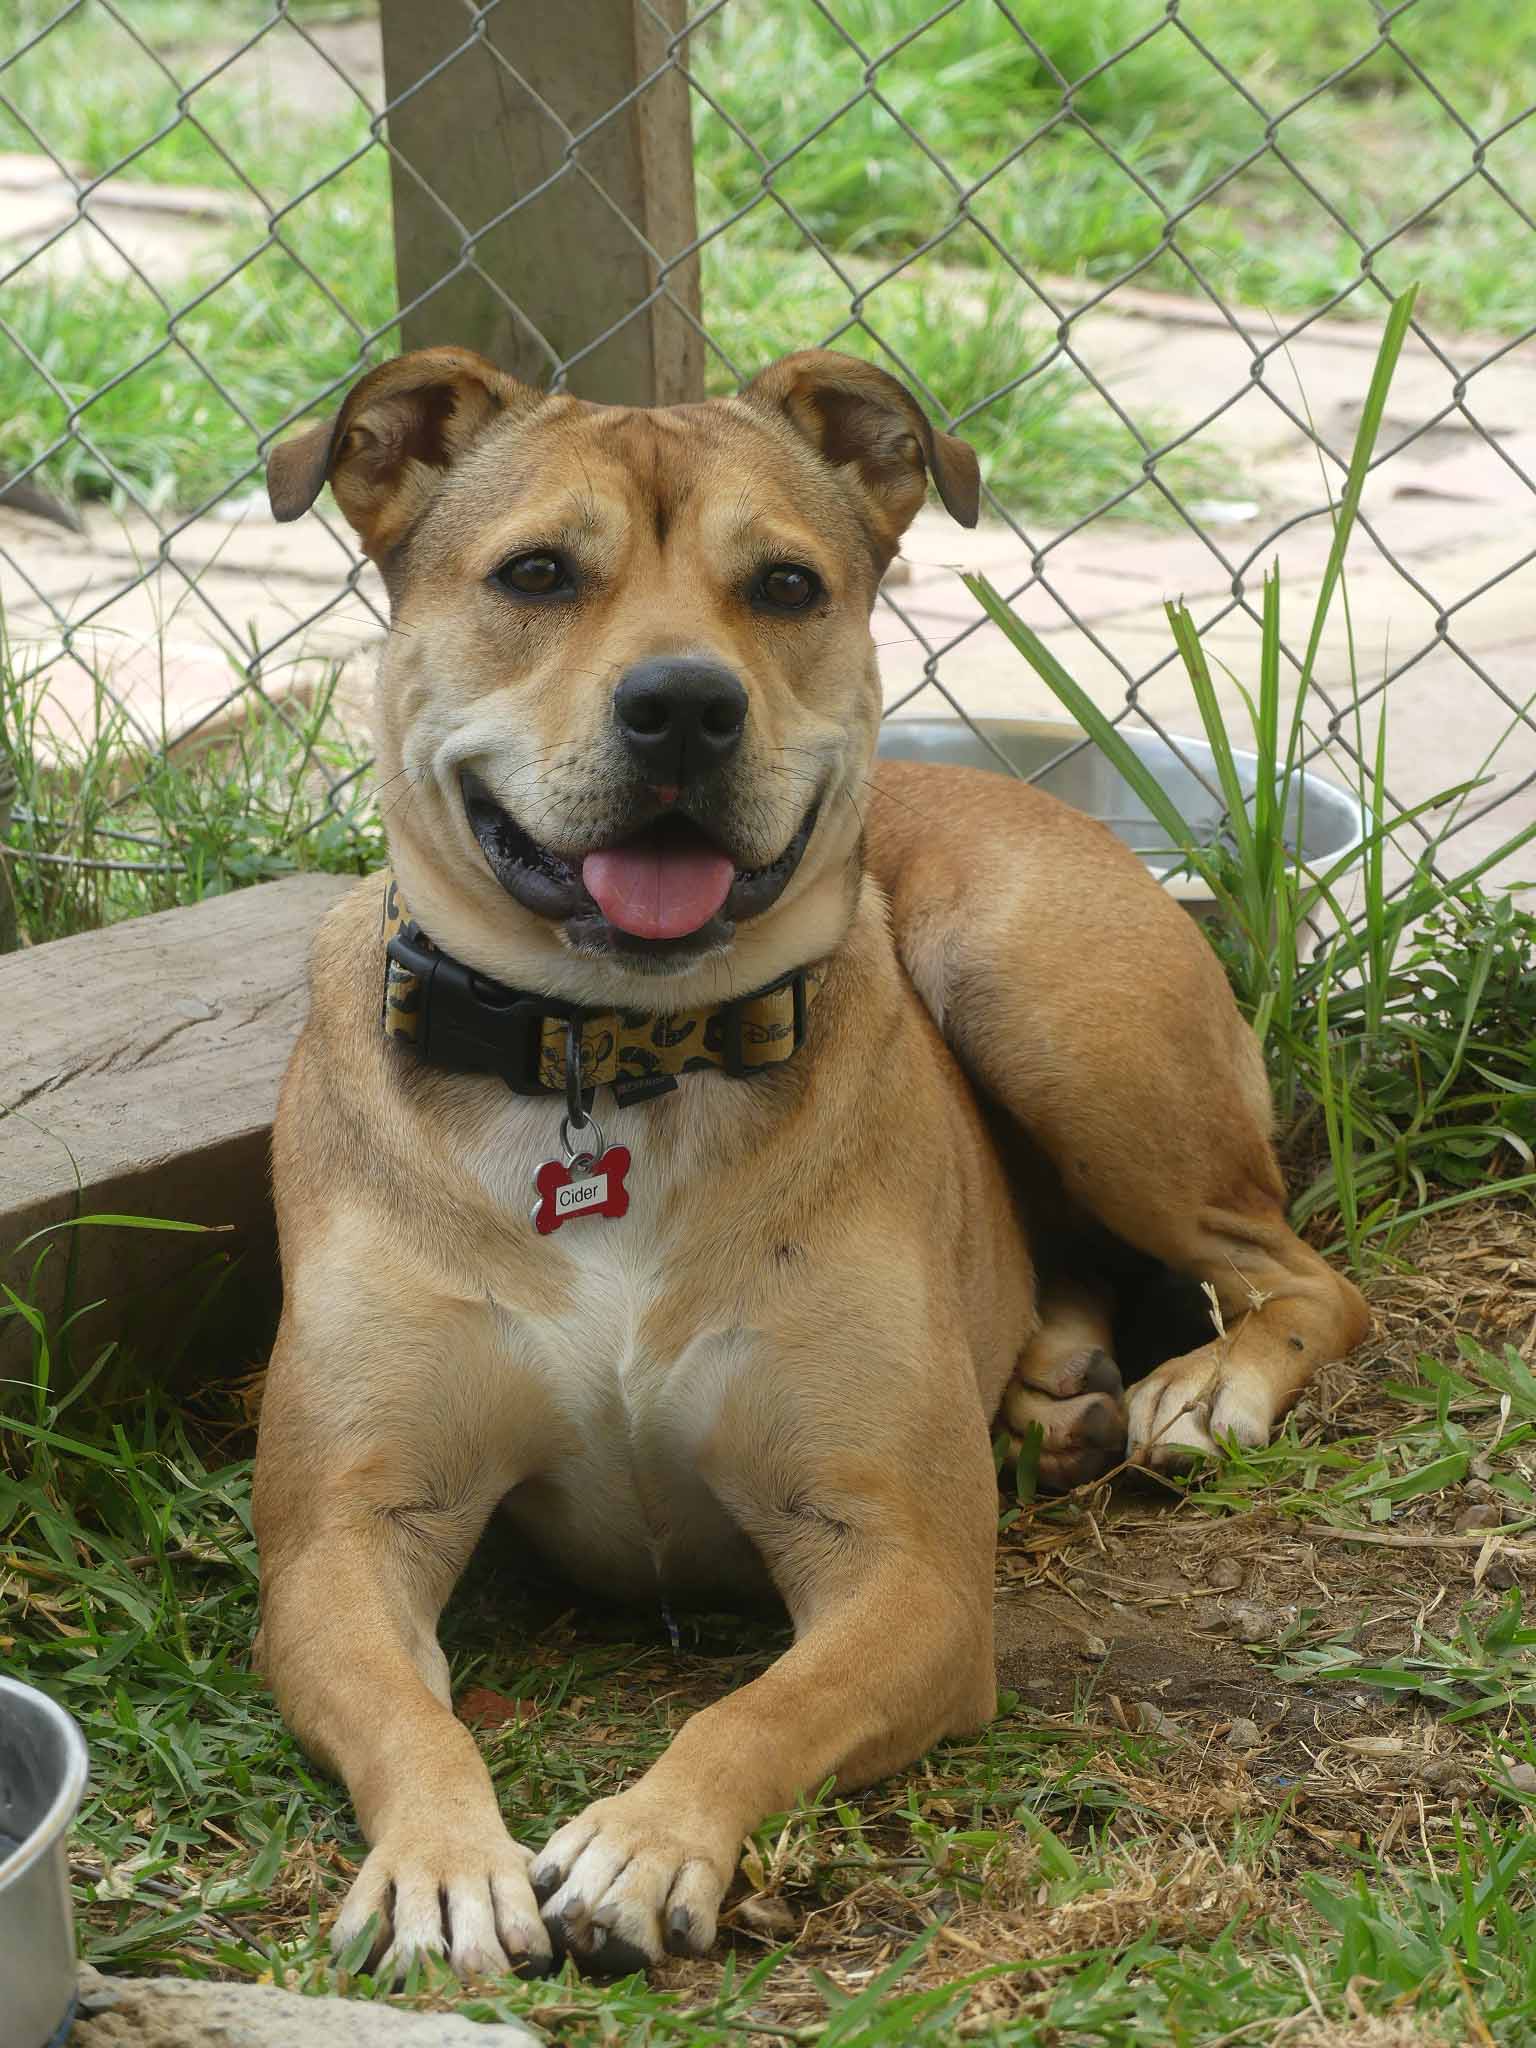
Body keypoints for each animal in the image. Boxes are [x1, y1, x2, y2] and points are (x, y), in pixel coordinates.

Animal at [252, 345, 1369, 1981]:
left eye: (784, 585)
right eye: (536, 572)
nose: (682, 704)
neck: (614, 1058)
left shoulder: (902, 1567)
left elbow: (762, 1705)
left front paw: (649, 1839)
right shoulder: (344, 1536)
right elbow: (408, 1713)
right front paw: (441, 1866)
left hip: (1045, 1004)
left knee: (1305, 1275)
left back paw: (1203, 1383)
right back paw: (1056, 1389)